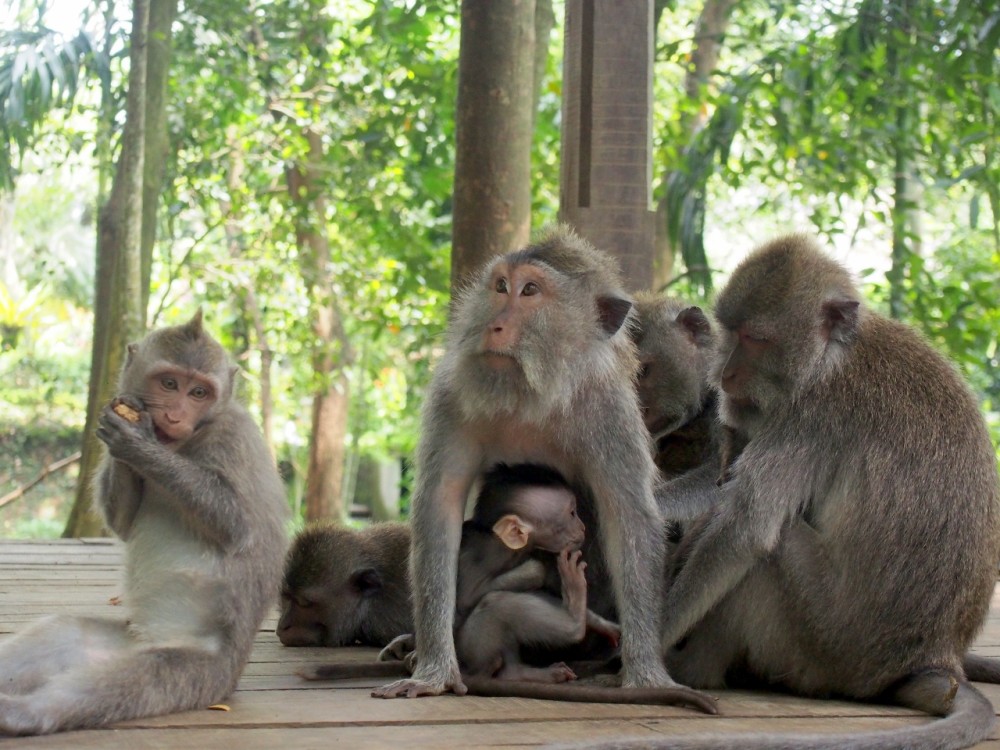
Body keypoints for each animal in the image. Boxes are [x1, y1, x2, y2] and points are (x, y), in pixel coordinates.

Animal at [0, 312, 290, 740]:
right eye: (169, 384)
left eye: (199, 393)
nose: (174, 416)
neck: (183, 442)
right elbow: (122, 524)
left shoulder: (235, 438)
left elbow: (239, 526)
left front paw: (136, 444)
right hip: (120, 640)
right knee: (61, 632)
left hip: (199, 673)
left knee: (138, 677)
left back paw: (26, 713)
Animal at [580, 235, 1000, 750]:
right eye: (733, 333)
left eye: (756, 339)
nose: (729, 376)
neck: (831, 356)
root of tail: (937, 657)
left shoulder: (808, 412)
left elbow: (745, 527)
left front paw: (644, 654)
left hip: (828, 642)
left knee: (766, 550)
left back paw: (693, 667)